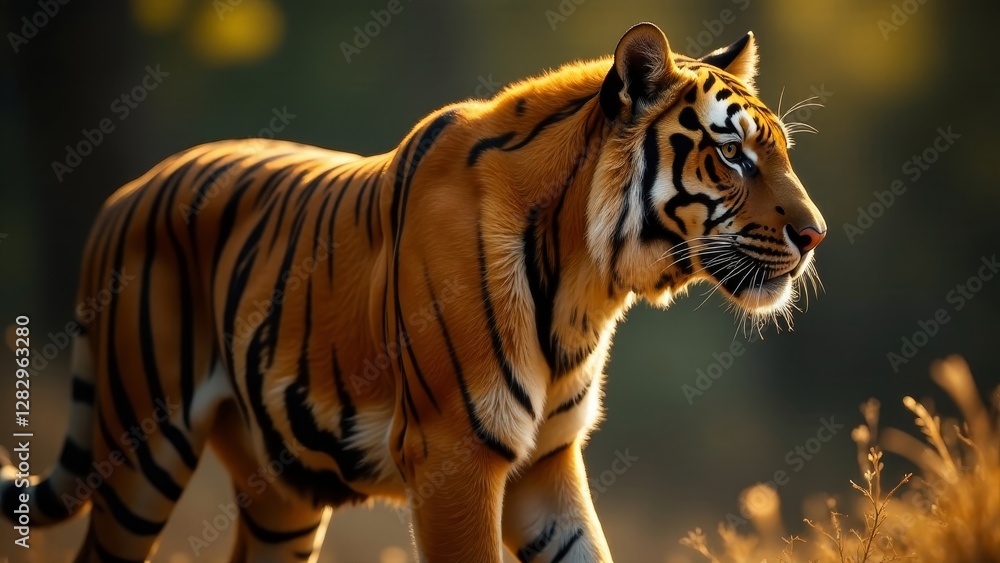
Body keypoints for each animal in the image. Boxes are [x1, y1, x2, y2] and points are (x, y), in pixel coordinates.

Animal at [1, 22, 825, 562]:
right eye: (732, 155)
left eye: (779, 152)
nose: (816, 234)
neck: (589, 283)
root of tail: (125, 193)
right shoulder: (456, 452)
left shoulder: (546, 461)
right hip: (143, 449)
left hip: (281, 492)